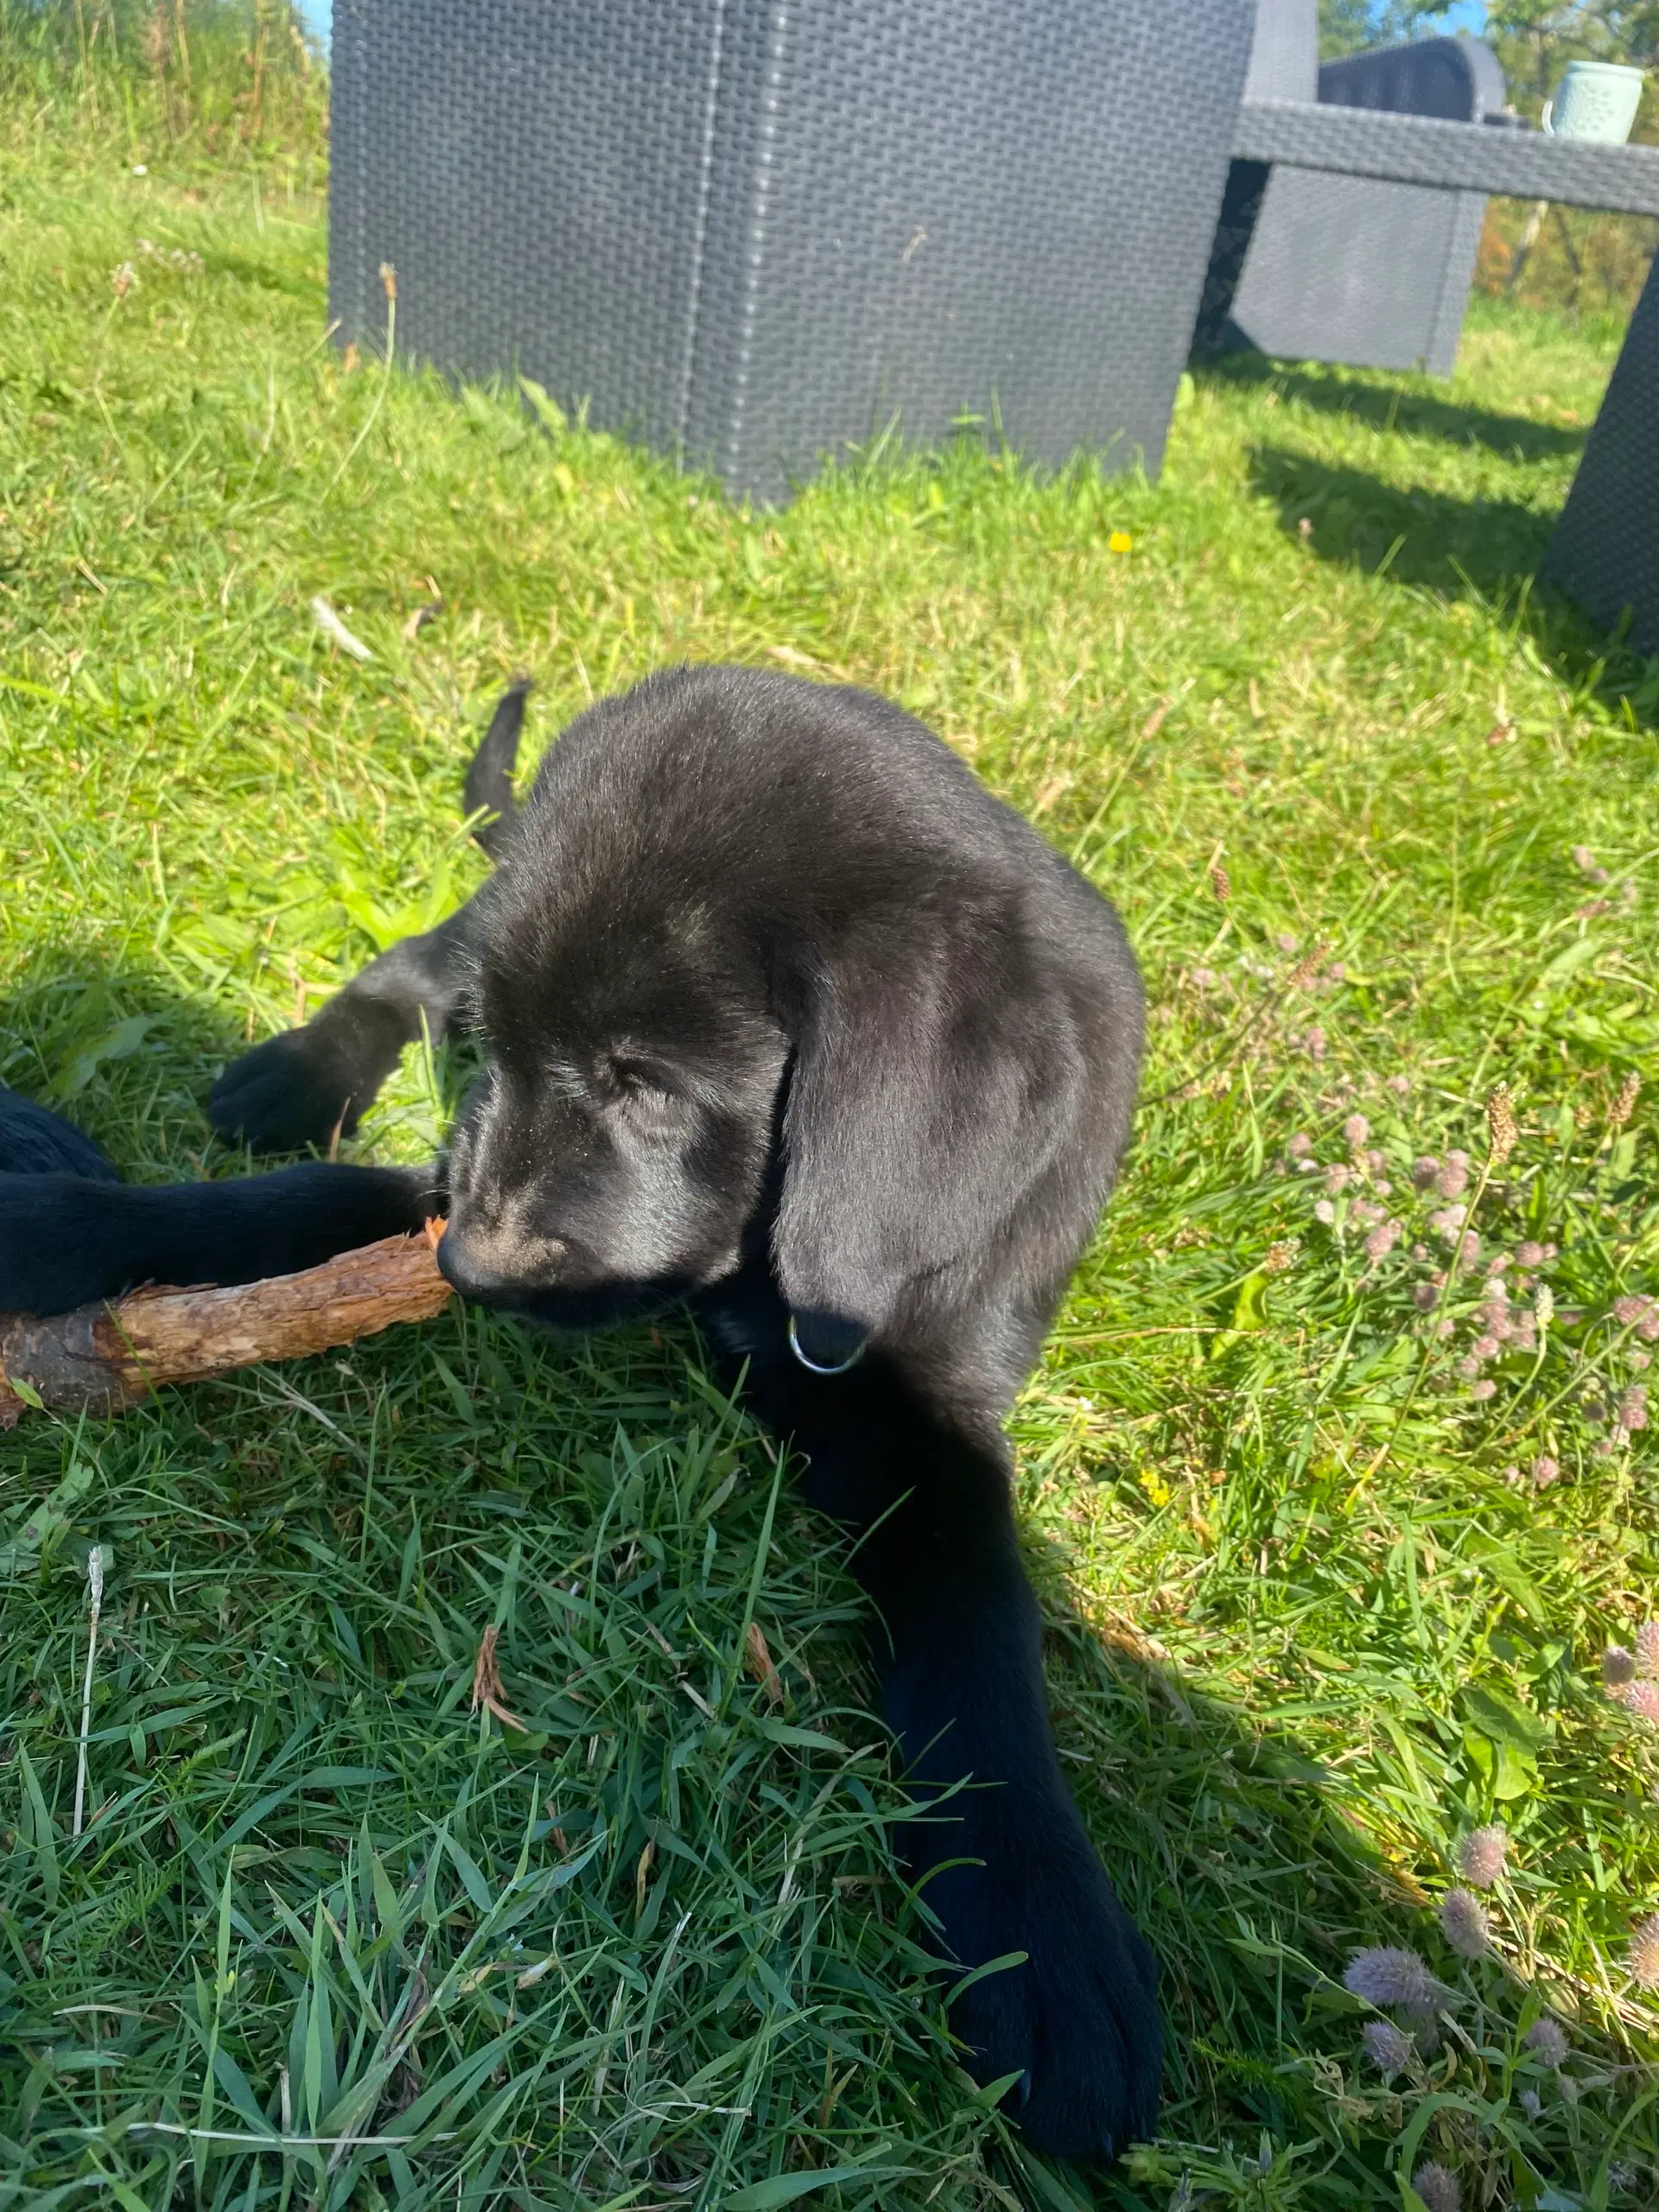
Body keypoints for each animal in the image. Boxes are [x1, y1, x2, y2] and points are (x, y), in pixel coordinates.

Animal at [0, 658, 1159, 2158]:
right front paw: (61, 1218)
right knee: (414, 956)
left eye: (644, 1081)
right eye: (519, 1056)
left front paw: (1041, 1928)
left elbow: (977, 1608)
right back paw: (298, 1070)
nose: (468, 1271)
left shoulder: (932, 1396)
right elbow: (301, 1204)